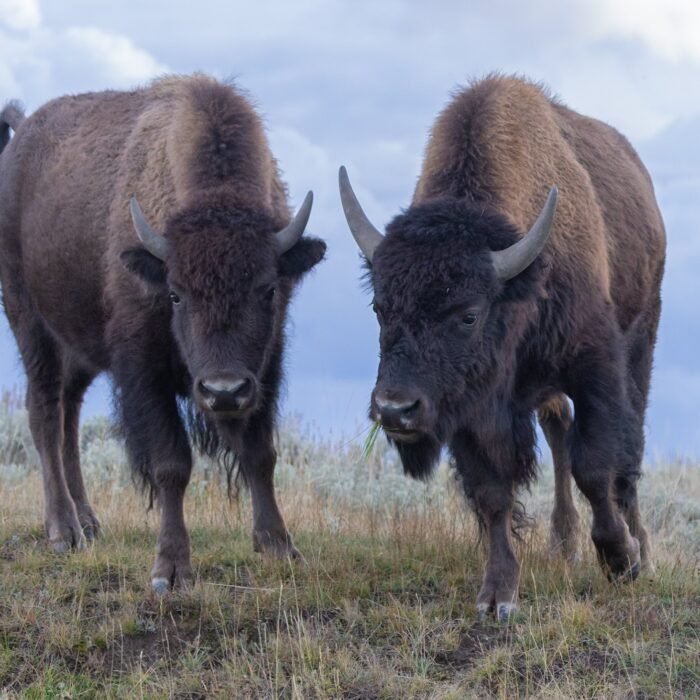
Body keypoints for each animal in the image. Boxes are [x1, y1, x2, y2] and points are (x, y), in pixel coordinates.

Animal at [0, 75, 325, 592]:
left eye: (269, 289)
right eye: (175, 294)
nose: (223, 391)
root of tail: (21, 136)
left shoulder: (266, 367)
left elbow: (261, 454)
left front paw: (279, 547)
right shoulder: (143, 367)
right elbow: (172, 463)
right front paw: (170, 571)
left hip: (81, 349)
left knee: (69, 414)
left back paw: (89, 521)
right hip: (29, 321)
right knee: (45, 413)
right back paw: (64, 531)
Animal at [340, 75, 665, 620]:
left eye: (468, 314)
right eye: (380, 308)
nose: (394, 409)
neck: (519, 285)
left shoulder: (595, 364)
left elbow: (595, 467)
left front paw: (622, 558)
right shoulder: (472, 407)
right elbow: (493, 493)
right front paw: (498, 594)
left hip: (642, 336)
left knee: (629, 448)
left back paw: (641, 547)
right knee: (559, 432)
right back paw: (564, 546)